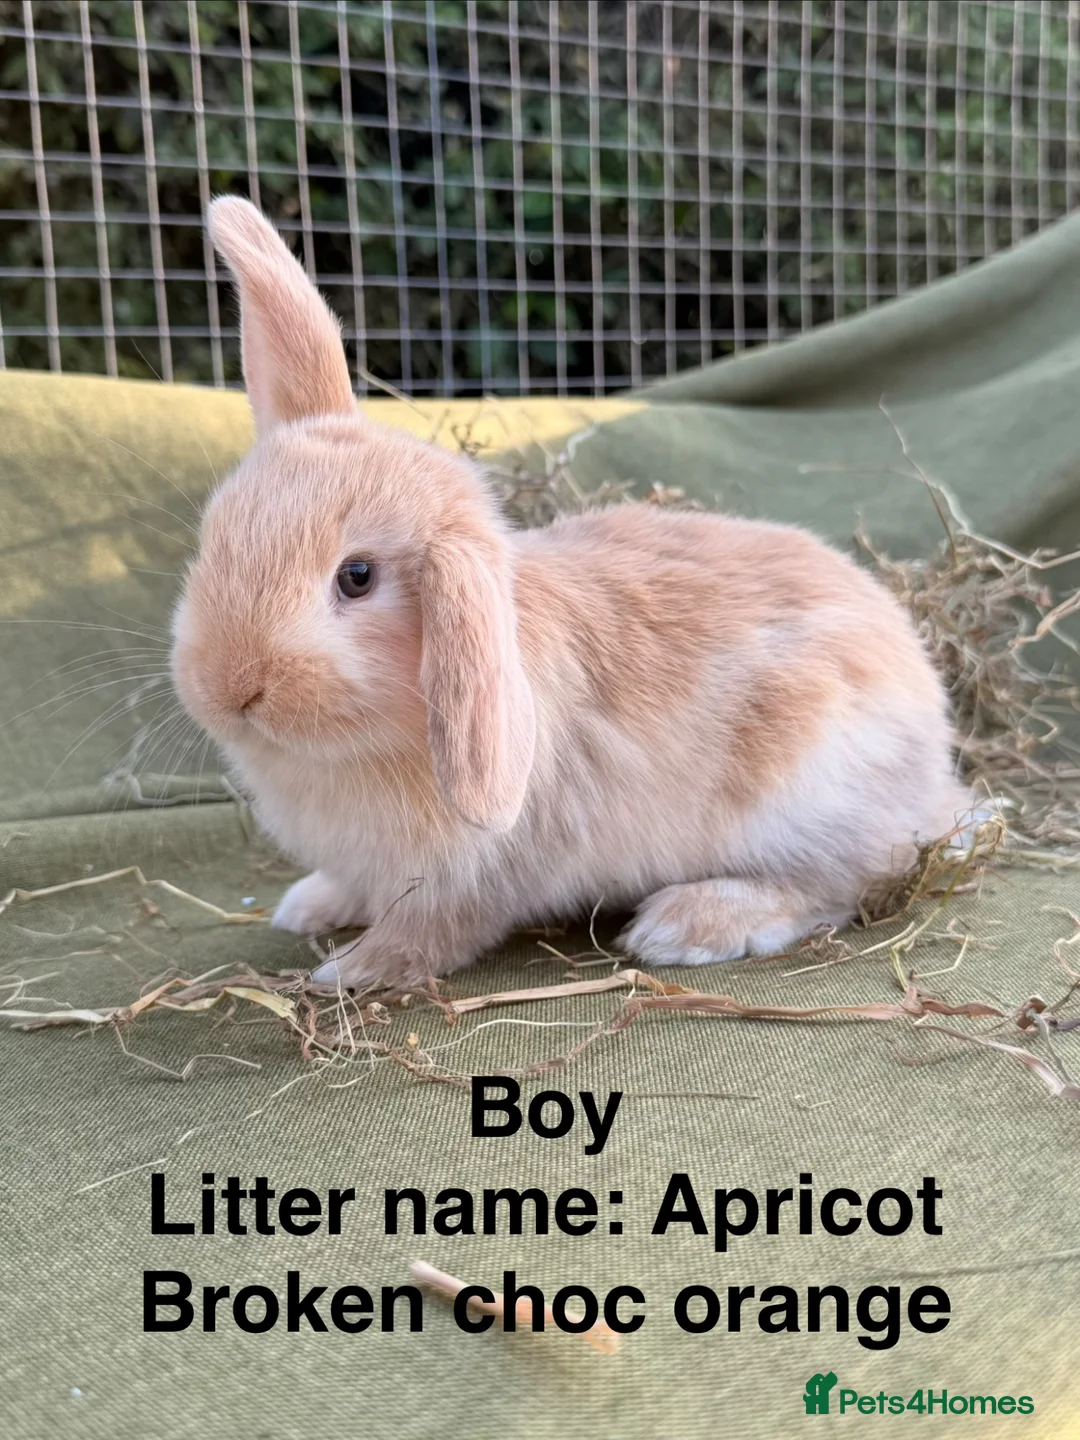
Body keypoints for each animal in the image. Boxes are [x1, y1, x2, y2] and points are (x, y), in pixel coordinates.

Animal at [170, 196, 973, 989]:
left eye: (357, 577)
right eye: (214, 536)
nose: (228, 689)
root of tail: (934, 753)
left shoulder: (474, 877)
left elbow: (434, 932)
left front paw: (354, 970)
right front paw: (310, 906)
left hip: (805, 796)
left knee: (844, 883)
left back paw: (686, 924)